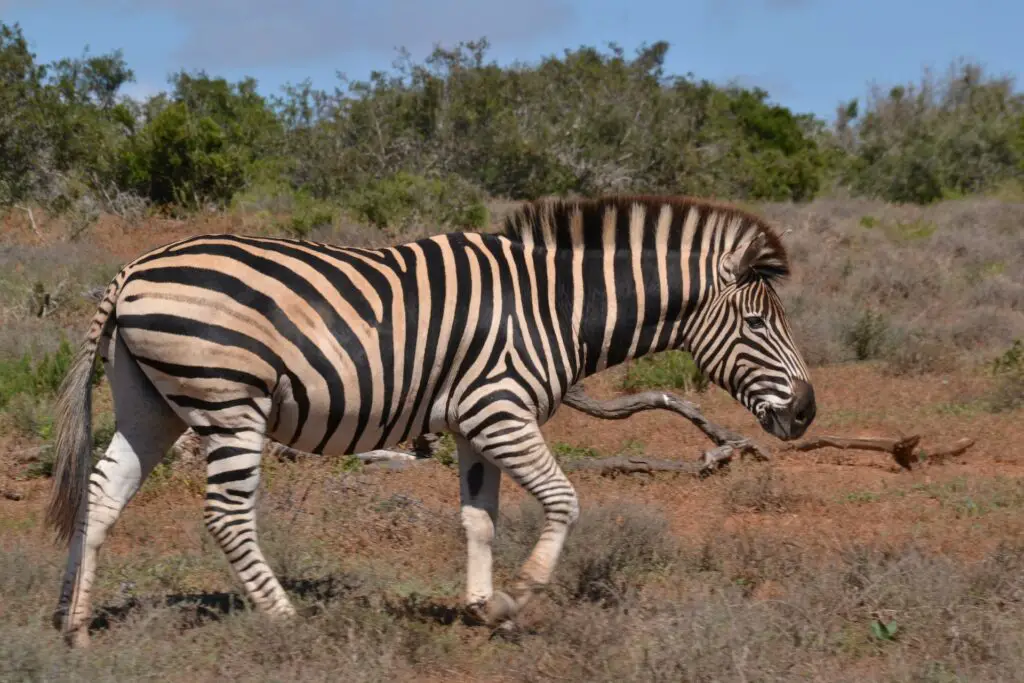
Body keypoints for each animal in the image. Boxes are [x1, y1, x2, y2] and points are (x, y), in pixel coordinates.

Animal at [46, 192, 815, 647]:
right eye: (756, 323)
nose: (808, 411)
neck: (557, 307)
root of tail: (134, 268)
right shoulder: (499, 409)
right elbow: (564, 500)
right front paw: (514, 600)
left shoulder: (475, 423)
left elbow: (479, 518)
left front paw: (477, 607)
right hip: (230, 401)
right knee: (227, 516)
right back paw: (287, 620)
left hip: (150, 401)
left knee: (102, 492)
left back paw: (77, 624)